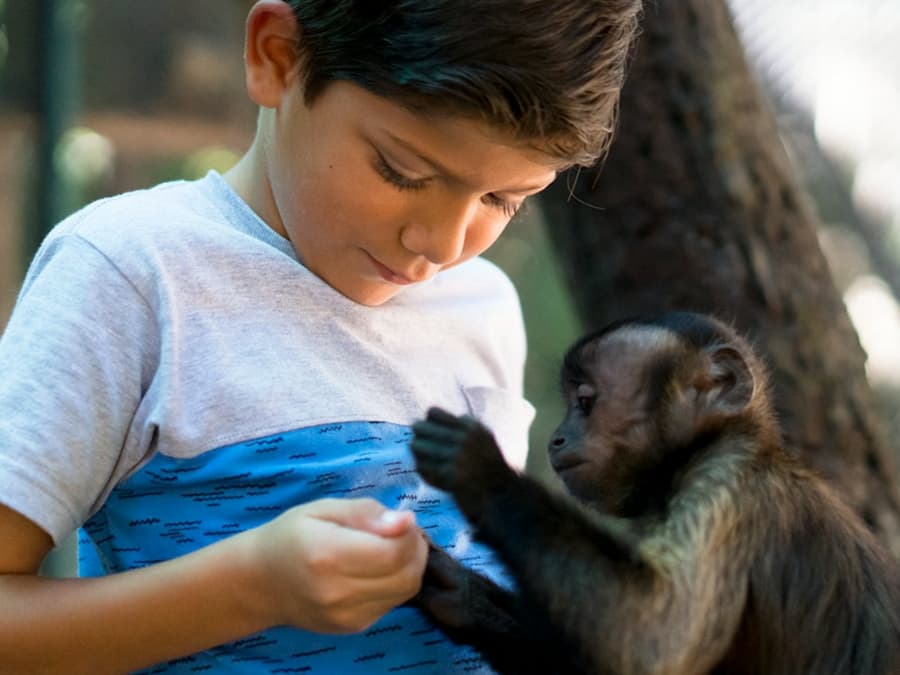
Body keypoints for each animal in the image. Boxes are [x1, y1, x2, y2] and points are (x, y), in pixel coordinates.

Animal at [410, 311, 900, 675]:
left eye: (585, 402)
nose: (556, 439)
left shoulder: (723, 486)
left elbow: (650, 639)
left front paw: (480, 469)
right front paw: (469, 600)